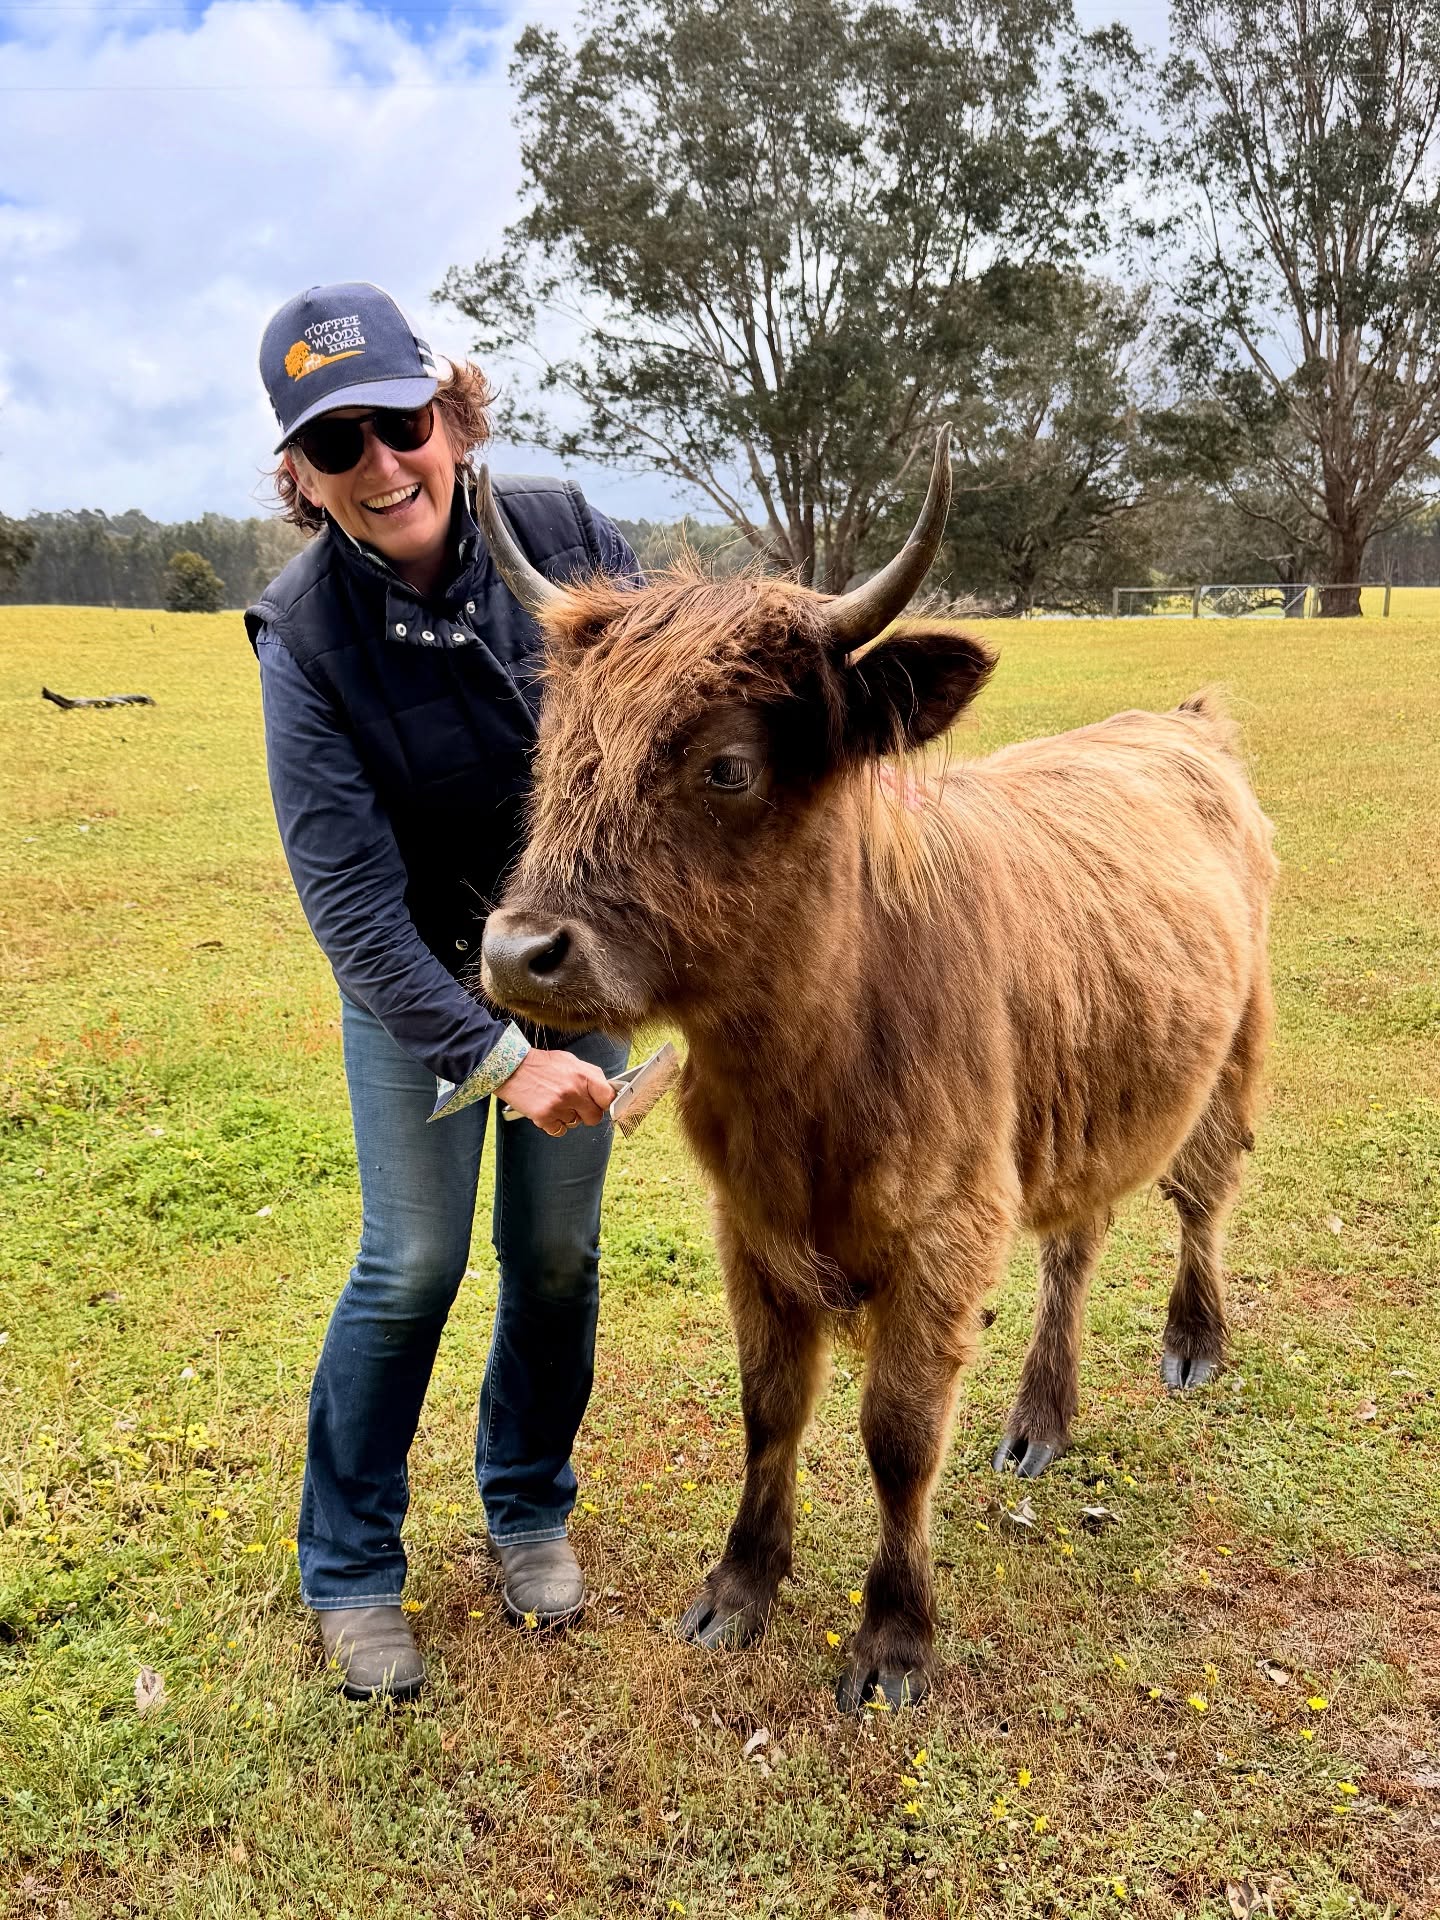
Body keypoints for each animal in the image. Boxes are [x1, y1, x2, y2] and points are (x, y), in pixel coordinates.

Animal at [476, 430, 1275, 1712]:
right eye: (555, 750)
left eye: (729, 769)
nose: (518, 953)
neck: (807, 1069)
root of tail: (1184, 724)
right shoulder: (752, 1230)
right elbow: (770, 1409)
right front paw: (738, 1588)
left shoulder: (944, 1232)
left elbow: (897, 1434)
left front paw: (894, 1638)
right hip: (1083, 1093)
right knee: (1076, 1243)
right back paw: (1039, 1419)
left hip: (1231, 1049)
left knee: (1202, 1193)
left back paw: (1194, 1344)